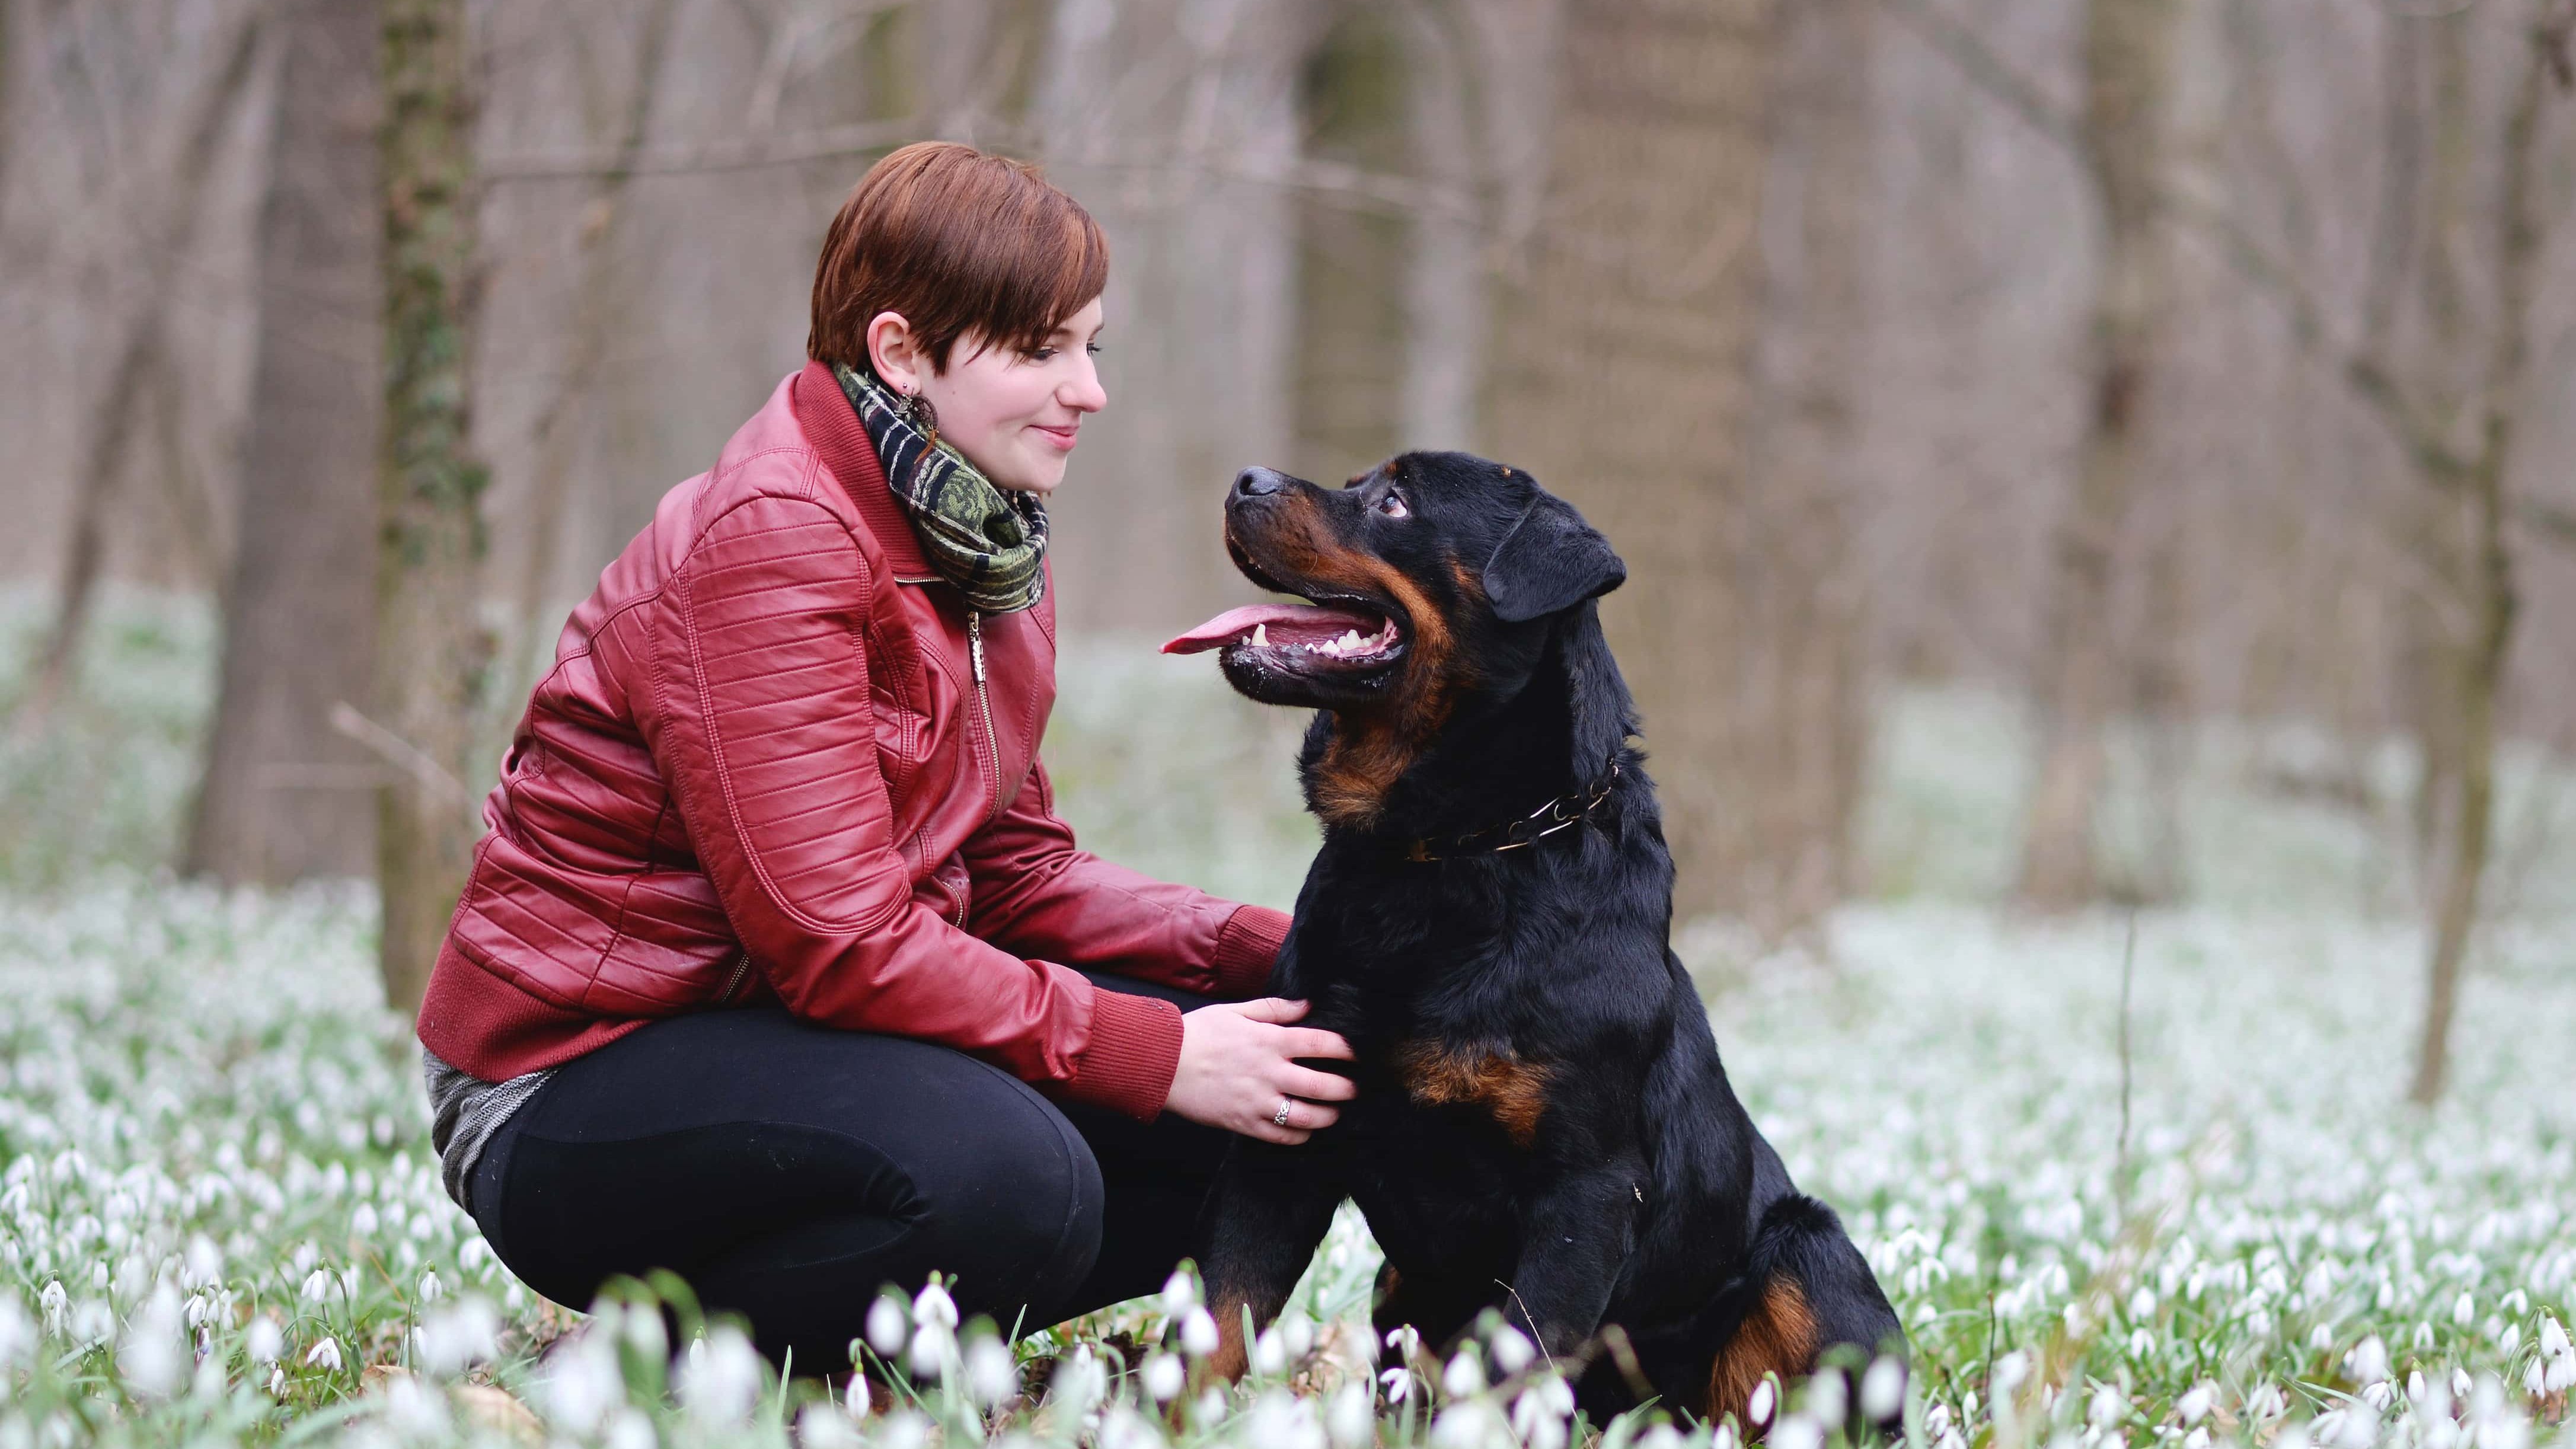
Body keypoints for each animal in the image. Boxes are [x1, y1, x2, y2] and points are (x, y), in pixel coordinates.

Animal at [1159, 451, 1906, 1423]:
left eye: (1394, 501)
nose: (1247, 478)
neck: (1456, 850)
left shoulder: (1582, 1193)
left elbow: (1518, 1364)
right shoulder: (1286, 1132)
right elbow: (1218, 1314)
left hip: (1806, 1255)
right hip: (1403, 1286)